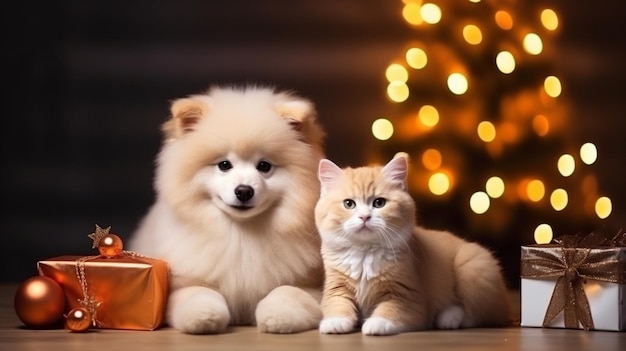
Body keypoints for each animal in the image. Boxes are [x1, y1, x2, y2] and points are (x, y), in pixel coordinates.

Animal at [314, 155, 510, 336]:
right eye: (349, 204)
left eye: (379, 203)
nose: (364, 217)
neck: (365, 252)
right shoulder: (336, 287)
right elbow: (336, 304)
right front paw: (335, 322)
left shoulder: (408, 297)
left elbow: (390, 310)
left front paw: (376, 323)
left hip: (472, 268)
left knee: (477, 314)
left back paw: (448, 317)